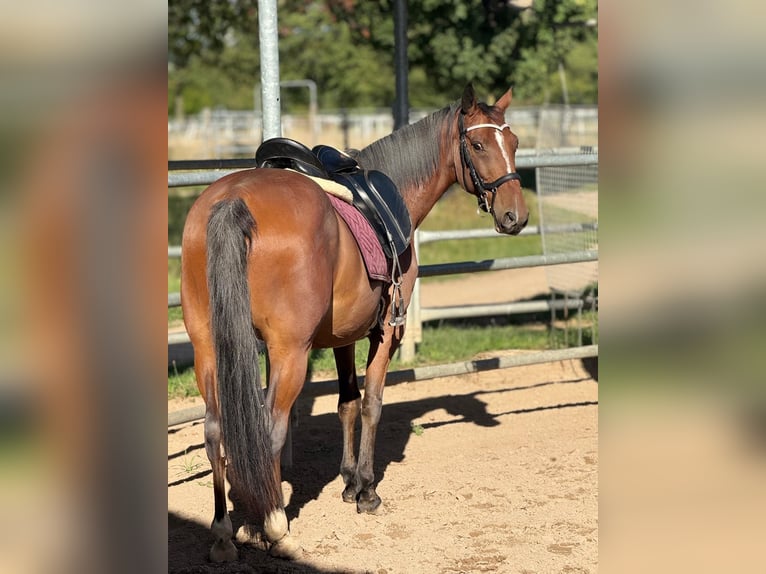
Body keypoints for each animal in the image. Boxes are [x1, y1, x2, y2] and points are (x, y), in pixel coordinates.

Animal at [180, 83, 529, 562]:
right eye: (477, 146)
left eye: (513, 143)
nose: (516, 216)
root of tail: (231, 201)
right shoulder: (387, 331)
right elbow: (371, 403)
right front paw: (366, 490)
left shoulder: (342, 335)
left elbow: (346, 402)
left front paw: (346, 481)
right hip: (289, 353)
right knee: (269, 429)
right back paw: (275, 526)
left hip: (208, 348)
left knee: (215, 431)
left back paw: (223, 532)